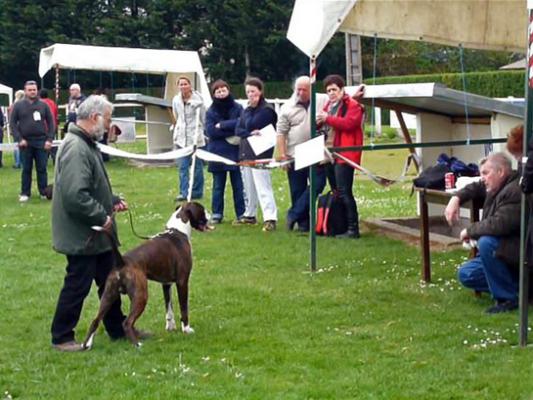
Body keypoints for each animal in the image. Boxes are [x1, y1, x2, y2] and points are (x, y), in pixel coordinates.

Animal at [82, 202, 209, 348]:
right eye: (202, 210)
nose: (209, 214)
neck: (178, 230)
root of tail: (121, 262)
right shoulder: (182, 282)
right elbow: (184, 308)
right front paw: (186, 329)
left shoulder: (166, 284)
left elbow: (169, 307)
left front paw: (171, 327)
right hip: (140, 295)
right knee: (127, 322)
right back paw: (137, 345)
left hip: (108, 295)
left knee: (96, 320)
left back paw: (87, 345)